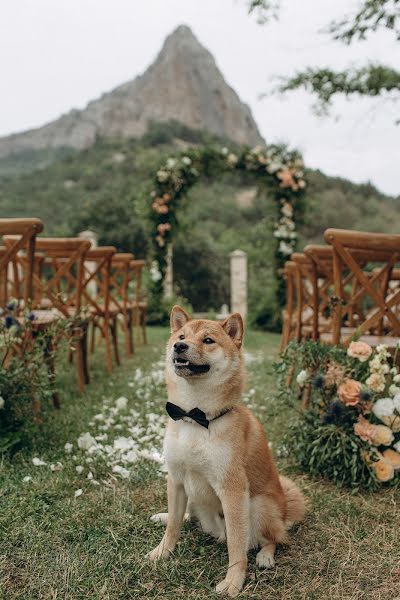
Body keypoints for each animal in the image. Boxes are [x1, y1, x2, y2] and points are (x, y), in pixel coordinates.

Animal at [148, 308, 306, 596]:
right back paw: (164, 516)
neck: (194, 418)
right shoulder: (176, 479)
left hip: (259, 505)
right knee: (188, 517)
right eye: (181, 336)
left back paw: (266, 555)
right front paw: (162, 551)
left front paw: (234, 582)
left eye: (208, 340)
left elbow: (236, 545)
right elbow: (174, 526)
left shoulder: (232, 490)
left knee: (275, 538)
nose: (179, 347)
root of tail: (285, 512)